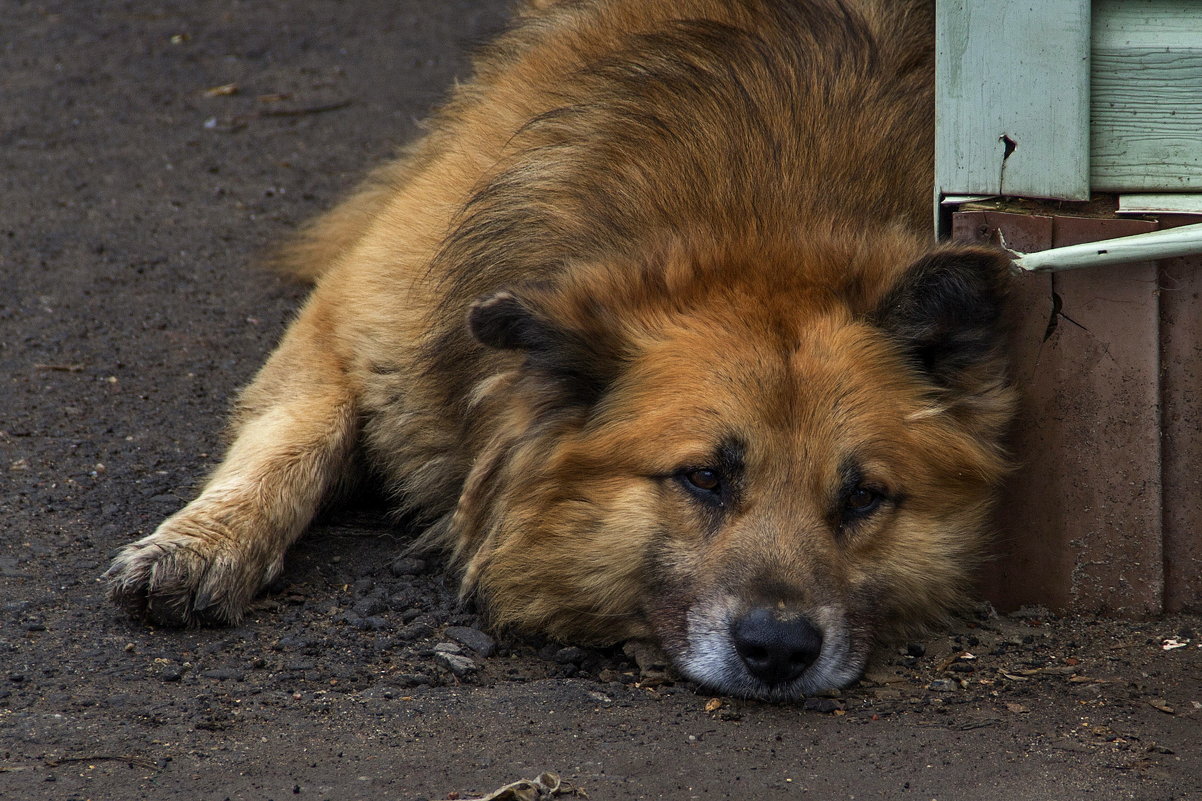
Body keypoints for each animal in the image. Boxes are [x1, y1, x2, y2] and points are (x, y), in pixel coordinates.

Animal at [110, 0, 1014, 697]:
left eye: (865, 497)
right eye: (703, 477)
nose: (782, 650)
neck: (760, 219)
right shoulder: (365, 311)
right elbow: (299, 431)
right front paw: (202, 545)